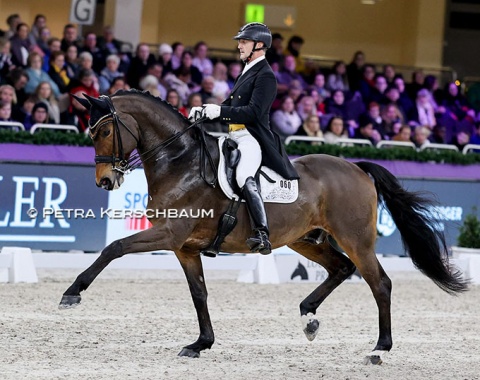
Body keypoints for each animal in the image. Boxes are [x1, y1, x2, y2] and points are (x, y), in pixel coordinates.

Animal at [61, 90, 468, 366]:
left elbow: (114, 248)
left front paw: (72, 293)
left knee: (378, 282)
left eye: (103, 132)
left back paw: (379, 349)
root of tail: (357, 167)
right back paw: (308, 316)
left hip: (356, 239)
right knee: (340, 268)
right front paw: (201, 343)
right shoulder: (185, 247)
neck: (180, 163)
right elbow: (199, 294)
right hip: (304, 239)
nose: (105, 181)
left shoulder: (169, 235)